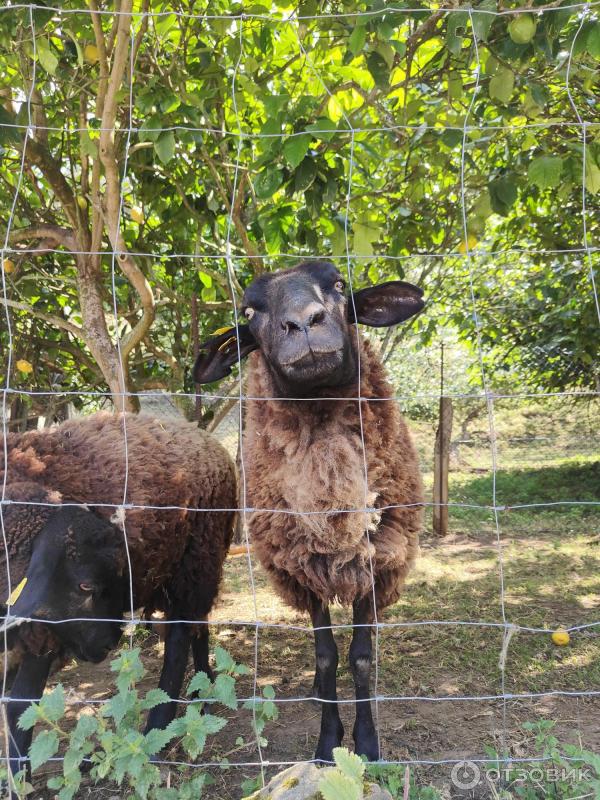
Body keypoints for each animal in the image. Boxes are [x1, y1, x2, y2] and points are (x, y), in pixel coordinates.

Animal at [1, 416, 236, 780]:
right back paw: (203, 690)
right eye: (86, 586)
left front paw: (17, 777)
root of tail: (206, 439)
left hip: (196, 560)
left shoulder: (41, 629)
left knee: (179, 642)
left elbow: (20, 703)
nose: (109, 644)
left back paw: (157, 733)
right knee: (199, 627)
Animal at [195, 260, 424, 764]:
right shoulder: (303, 565)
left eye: (339, 284)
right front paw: (327, 742)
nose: (303, 323)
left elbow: (360, 656)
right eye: (249, 311)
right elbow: (326, 655)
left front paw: (367, 744)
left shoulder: (375, 560)